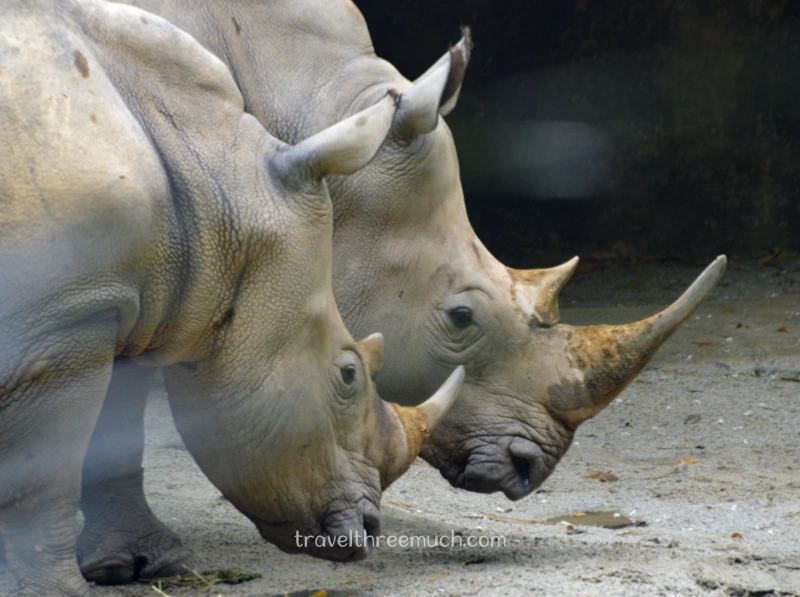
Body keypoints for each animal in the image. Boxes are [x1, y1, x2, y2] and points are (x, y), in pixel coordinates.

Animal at [0, 1, 465, 594]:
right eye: (347, 375)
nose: (369, 529)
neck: (217, 180)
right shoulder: (71, 317)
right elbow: (42, 478)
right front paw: (59, 591)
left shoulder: (103, 302)